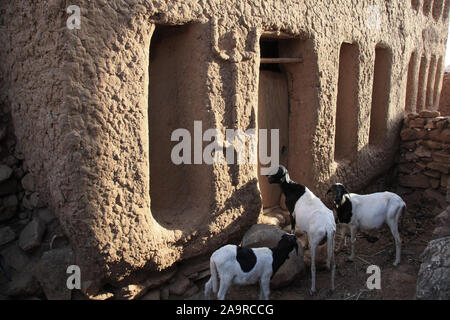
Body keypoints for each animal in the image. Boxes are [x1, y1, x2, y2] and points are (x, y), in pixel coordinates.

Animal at [268, 166, 334, 294]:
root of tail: (327, 227)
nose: (268, 178)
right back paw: (331, 284)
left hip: (316, 241)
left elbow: (293, 228)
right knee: (333, 264)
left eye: (277, 172)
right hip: (331, 240)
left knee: (313, 267)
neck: (292, 187)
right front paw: (305, 245)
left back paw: (312, 289)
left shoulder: (292, 212)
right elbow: (305, 233)